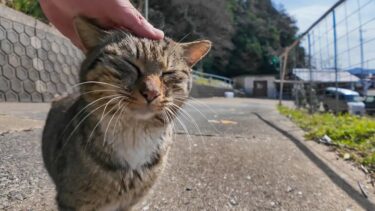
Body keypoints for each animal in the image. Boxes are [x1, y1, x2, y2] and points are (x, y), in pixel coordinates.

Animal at [41, 16, 212, 209]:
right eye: (130, 64)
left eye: (168, 73)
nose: (151, 92)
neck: (134, 133)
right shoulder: (72, 201)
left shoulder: (130, 203)